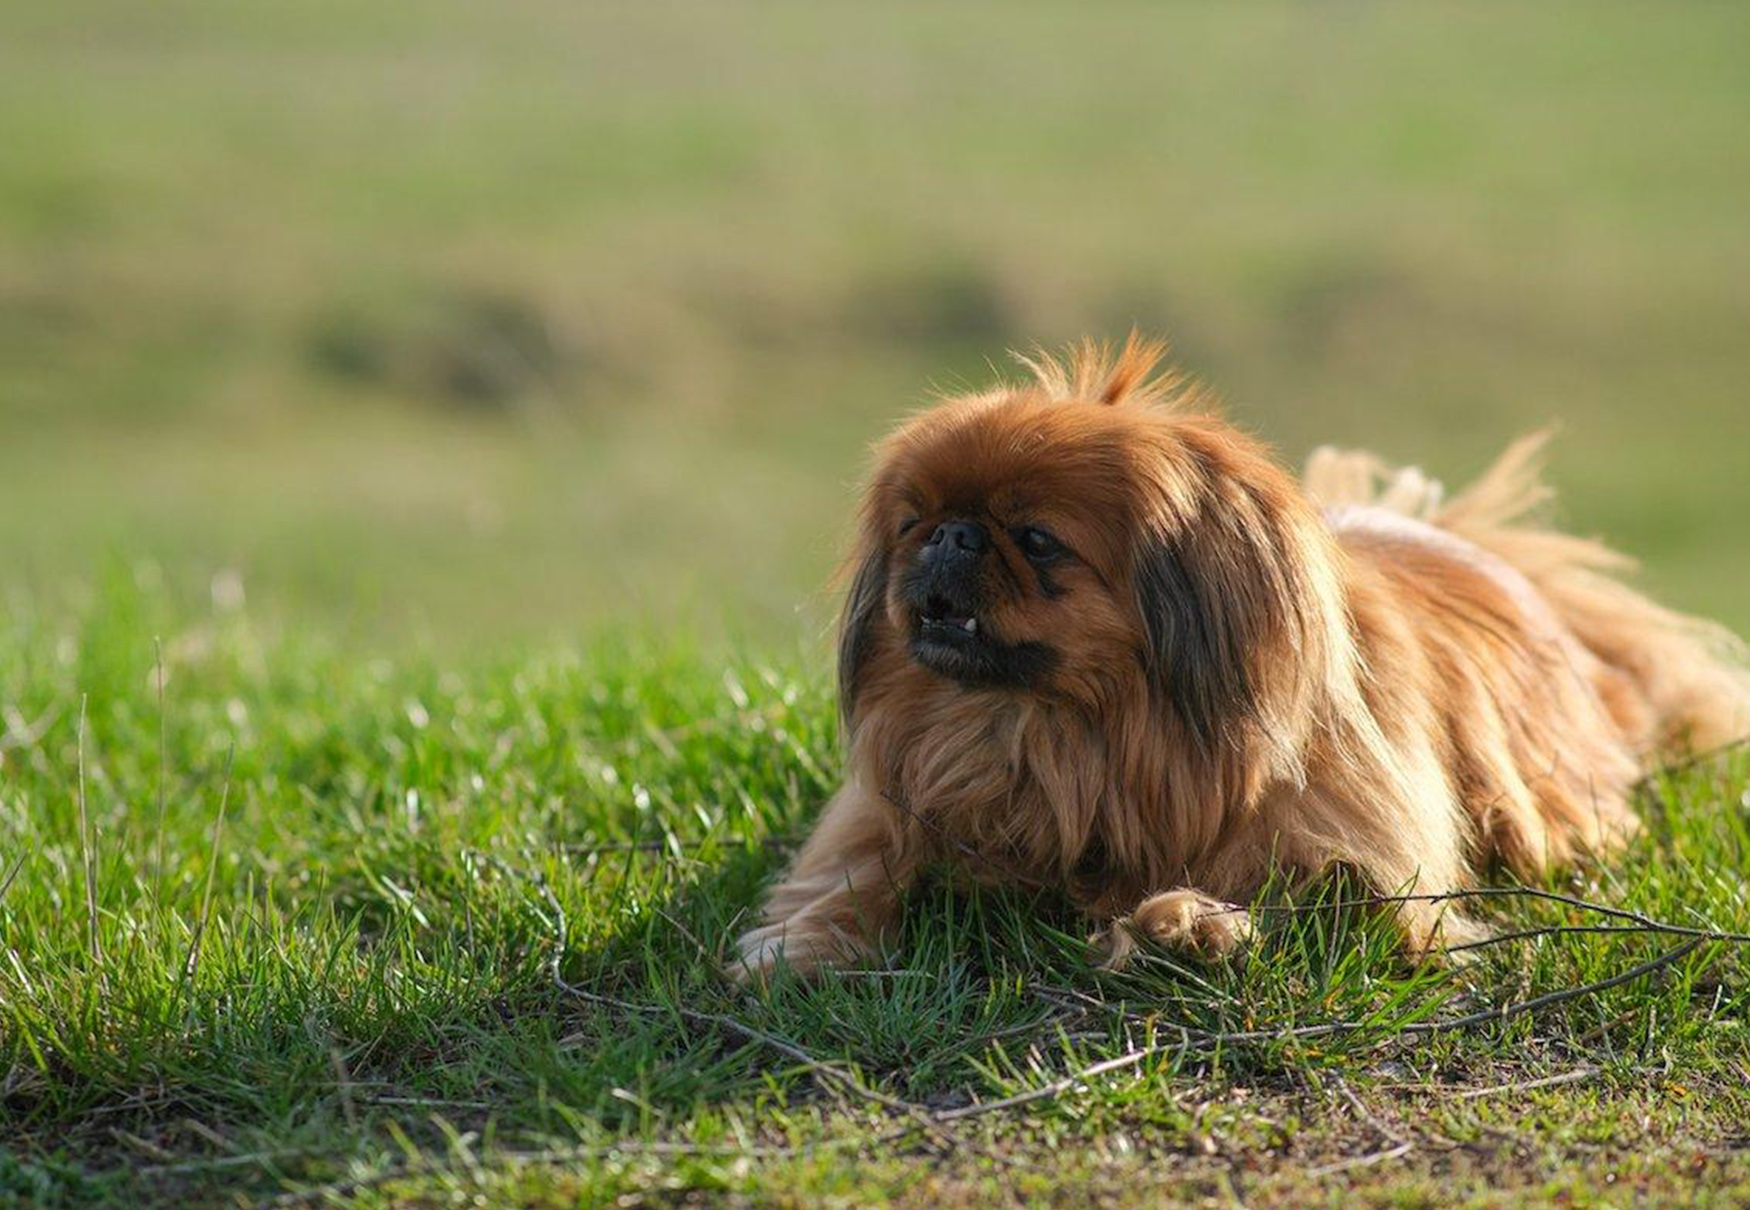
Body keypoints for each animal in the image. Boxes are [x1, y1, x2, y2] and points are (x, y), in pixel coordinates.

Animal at [728, 336, 1750, 980]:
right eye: (914, 522)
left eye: (1036, 538)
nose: (950, 536)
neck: (1064, 736)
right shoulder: (883, 812)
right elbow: (855, 873)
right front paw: (805, 944)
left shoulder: (1358, 861)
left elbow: (1310, 895)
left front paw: (1183, 924)